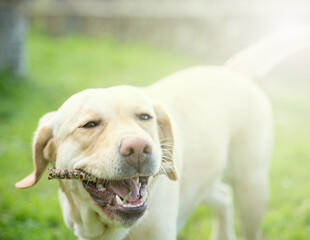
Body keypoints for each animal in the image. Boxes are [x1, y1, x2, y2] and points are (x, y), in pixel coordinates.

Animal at [16, 25, 310, 239]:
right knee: (223, 197)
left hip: (252, 187)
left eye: (145, 117)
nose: (138, 148)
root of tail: (230, 71)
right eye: (89, 125)